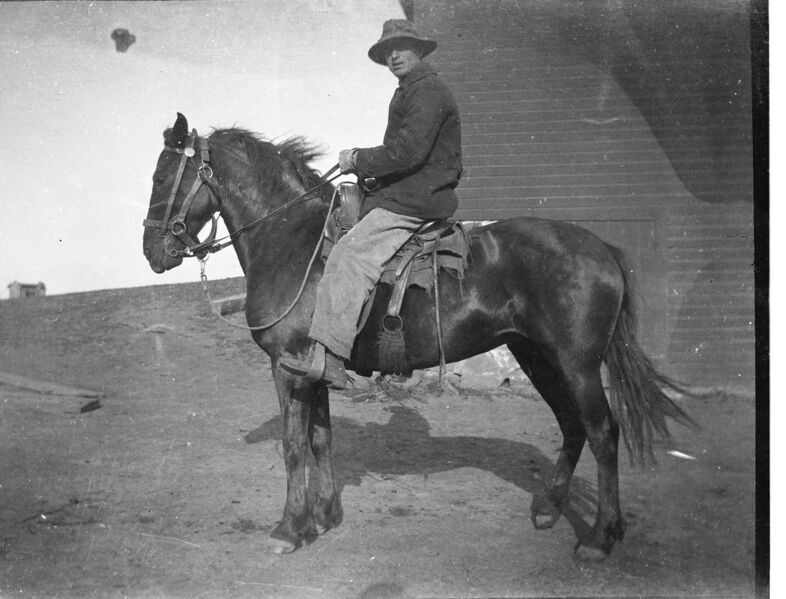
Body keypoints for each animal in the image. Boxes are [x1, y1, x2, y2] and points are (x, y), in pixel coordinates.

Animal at [142, 112, 693, 561]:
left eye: (163, 176)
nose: (151, 251)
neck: (294, 241)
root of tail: (601, 247)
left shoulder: (288, 367)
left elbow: (293, 445)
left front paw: (289, 529)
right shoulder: (315, 369)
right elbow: (321, 438)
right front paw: (324, 515)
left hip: (577, 364)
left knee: (602, 433)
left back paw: (600, 536)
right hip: (537, 355)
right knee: (572, 425)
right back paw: (550, 509)